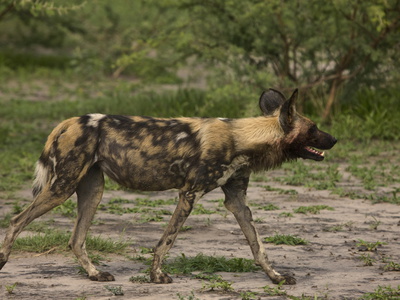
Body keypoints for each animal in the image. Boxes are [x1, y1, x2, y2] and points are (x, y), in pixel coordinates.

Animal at [0, 88, 336, 284]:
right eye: (314, 129)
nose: (334, 139)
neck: (243, 138)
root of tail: (67, 122)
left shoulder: (237, 201)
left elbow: (258, 246)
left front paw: (275, 277)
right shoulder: (189, 194)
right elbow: (167, 241)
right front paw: (157, 275)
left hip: (92, 192)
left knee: (76, 239)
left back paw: (95, 274)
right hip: (62, 189)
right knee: (16, 221)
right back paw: (4, 261)